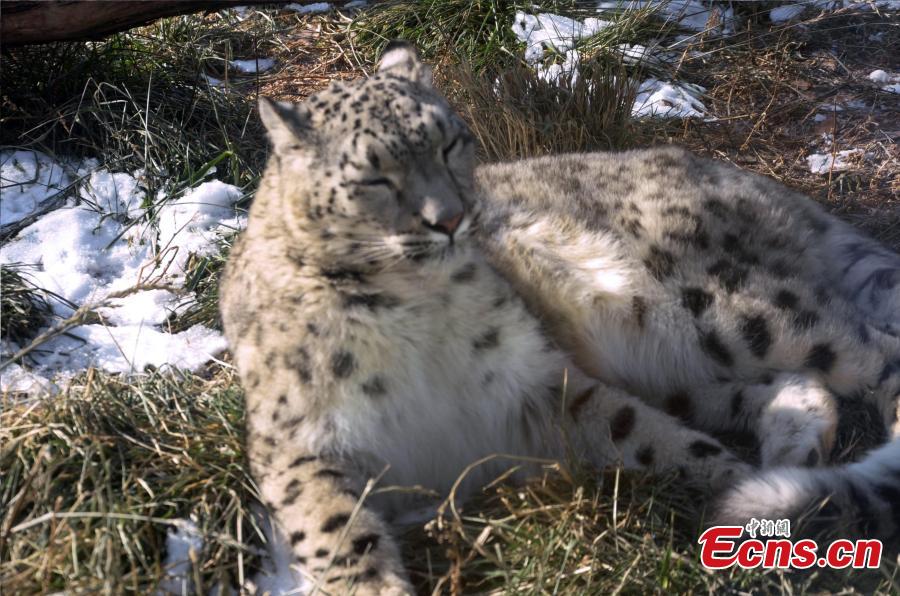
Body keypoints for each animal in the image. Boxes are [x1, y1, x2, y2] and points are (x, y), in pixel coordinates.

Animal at [220, 42, 900, 593]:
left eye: (449, 140)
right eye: (373, 177)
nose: (450, 218)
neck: (415, 317)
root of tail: (752, 180)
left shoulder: (538, 385)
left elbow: (651, 437)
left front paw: (743, 499)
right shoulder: (304, 446)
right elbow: (335, 535)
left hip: (709, 308)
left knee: (869, 349)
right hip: (671, 360)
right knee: (792, 385)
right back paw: (795, 447)